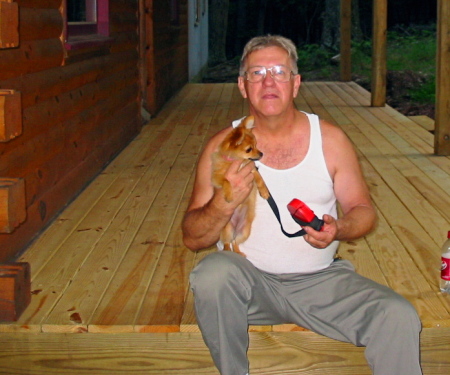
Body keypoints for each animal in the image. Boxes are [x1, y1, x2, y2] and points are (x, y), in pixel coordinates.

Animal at [212, 115, 268, 256]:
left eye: (256, 145)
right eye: (249, 149)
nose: (261, 154)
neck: (239, 162)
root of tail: (235, 229)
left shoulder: (251, 169)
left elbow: (260, 178)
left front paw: (264, 191)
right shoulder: (216, 178)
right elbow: (226, 181)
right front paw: (228, 195)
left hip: (244, 232)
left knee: (235, 242)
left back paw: (238, 253)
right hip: (226, 230)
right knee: (227, 243)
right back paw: (227, 251)